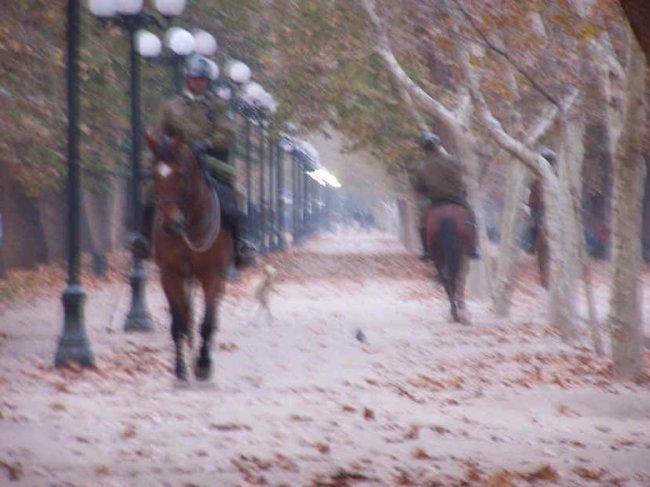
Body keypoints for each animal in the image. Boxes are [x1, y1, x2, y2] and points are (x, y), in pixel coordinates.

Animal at [144, 132, 233, 382]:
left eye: (181, 175)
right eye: (153, 174)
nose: (170, 224)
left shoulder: (212, 275)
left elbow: (208, 322)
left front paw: (203, 364)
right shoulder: (169, 275)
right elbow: (179, 322)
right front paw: (180, 368)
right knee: (186, 315)